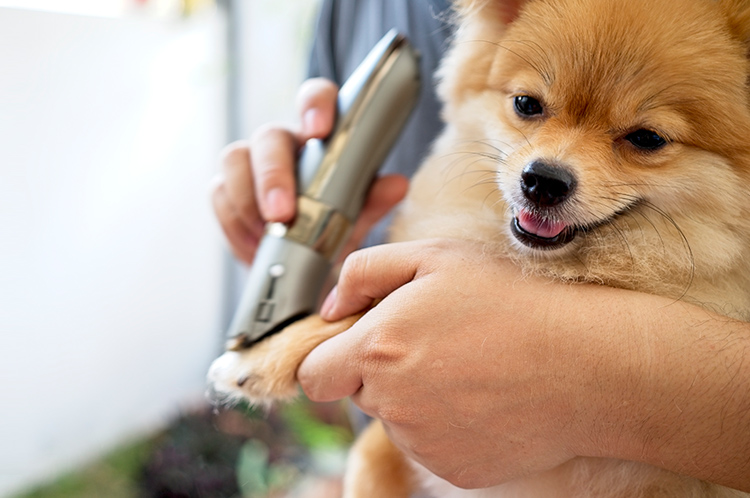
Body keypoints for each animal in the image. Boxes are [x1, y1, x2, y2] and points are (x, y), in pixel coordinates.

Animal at [209, 0, 750, 496]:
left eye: (647, 139)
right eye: (527, 104)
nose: (542, 180)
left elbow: (371, 308)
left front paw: (262, 356)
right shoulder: (378, 454)